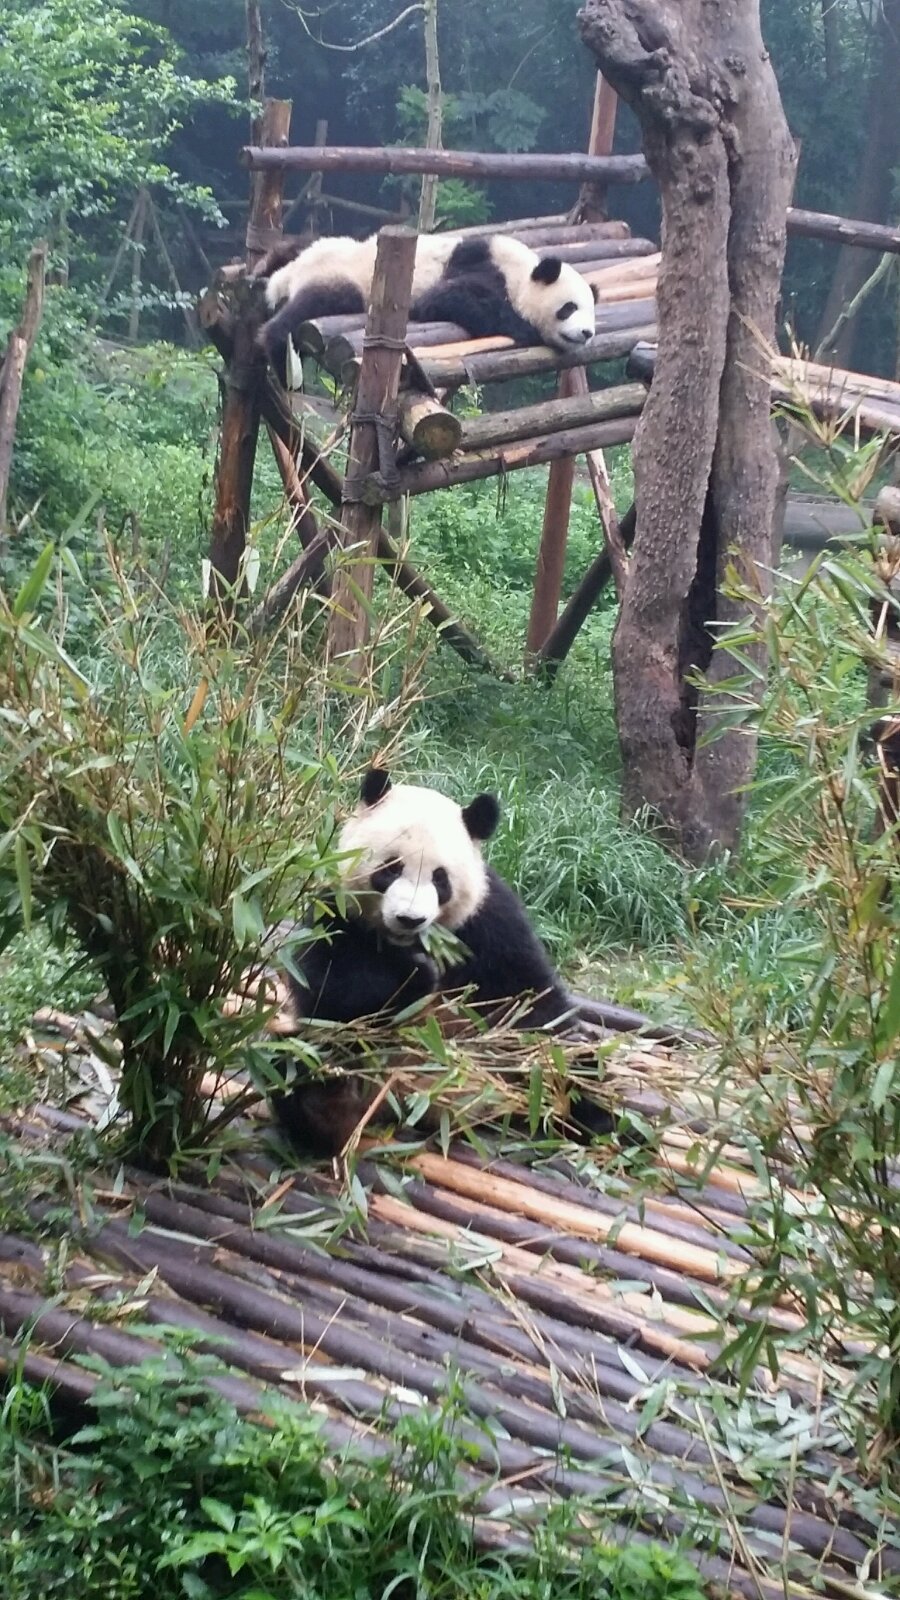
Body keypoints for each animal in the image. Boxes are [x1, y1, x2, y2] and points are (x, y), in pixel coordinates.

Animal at [256, 232, 595, 377]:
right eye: (569, 308)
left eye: (592, 314)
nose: (587, 333)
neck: (522, 273)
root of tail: (286, 277)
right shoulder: (480, 266)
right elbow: (447, 298)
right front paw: (525, 328)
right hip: (343, 277)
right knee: (315, 303)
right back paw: (277, 352)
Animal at [269, 768, 608, 1158]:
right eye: (391, 869)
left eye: (440, 878)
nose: (409, 919)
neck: (411, 942)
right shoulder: (335, 907)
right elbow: (329, 983)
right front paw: (416, 974)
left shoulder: (486, 922)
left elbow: (529, 999)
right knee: (296, 1063)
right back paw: (323, 1107)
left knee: (573, 1063)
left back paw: (585, 1110)